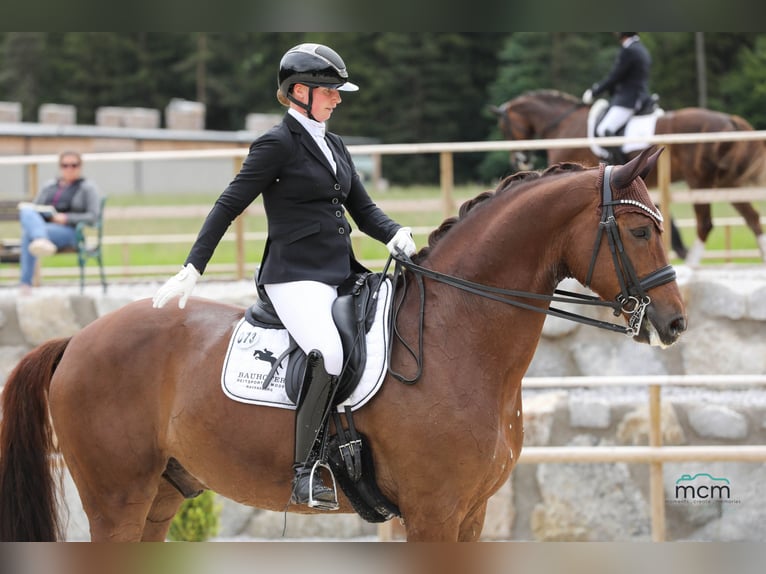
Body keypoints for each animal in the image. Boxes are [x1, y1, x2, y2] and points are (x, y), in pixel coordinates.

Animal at [0, 146, 688, 544]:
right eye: (638, 230)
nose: (676, 324)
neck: (460, 338)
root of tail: (78, 339)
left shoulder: (470, 514)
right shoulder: (435, 513)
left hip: (161, 497)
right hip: (117, 498)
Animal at [492, 90, 766, 266]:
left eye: (505, 128)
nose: (519, 161)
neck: (564, 124)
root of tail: (728, 119)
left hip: (699, 181)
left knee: (705, 223)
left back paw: (692, 267)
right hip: (726, 182)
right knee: (752, 218)